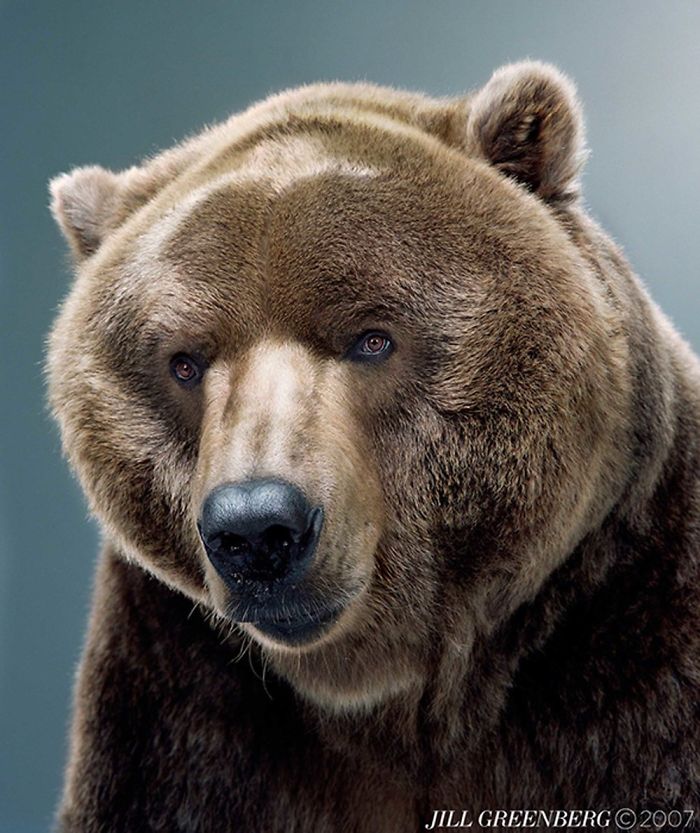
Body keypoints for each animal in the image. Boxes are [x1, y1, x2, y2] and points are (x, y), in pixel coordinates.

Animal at [47, 61, 700, 832]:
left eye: (372, 338)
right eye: (184, 360)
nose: (257, 531)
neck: (386, 693)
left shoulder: (634, 640)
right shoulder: (180, 703)